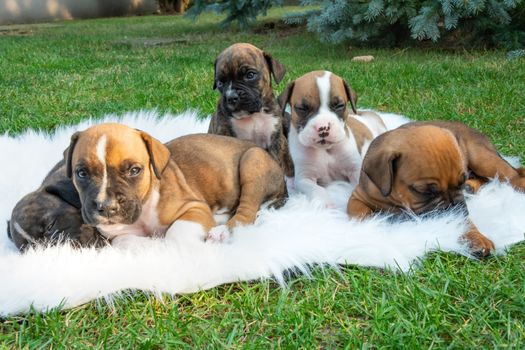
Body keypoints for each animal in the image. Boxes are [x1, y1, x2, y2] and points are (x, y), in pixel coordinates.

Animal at [65, 123, 286, 243]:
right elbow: (124, 240)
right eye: (82, 173)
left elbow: (174, 236)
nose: (106, 207)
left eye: (134, 170)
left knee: (246, 212)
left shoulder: (194, 208)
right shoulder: (116, 233)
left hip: (253, 160)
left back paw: (220, 231)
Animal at [278, 72, 384, 208]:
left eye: (339, 105)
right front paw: (326, 204)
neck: (326, 149)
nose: (323, 127)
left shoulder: (355, 169)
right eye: (302, 108)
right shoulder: (304, 178)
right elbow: (317, 189)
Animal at [348, 120, 524, 258]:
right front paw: (371, 227)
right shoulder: (357, 197)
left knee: (513, 175)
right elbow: (360, 213)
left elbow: (465, 222)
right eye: (424, 191)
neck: (396, 199)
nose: (455, 207)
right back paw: (471, 187)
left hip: (483, 158)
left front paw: (476, 237)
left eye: (460, 183)